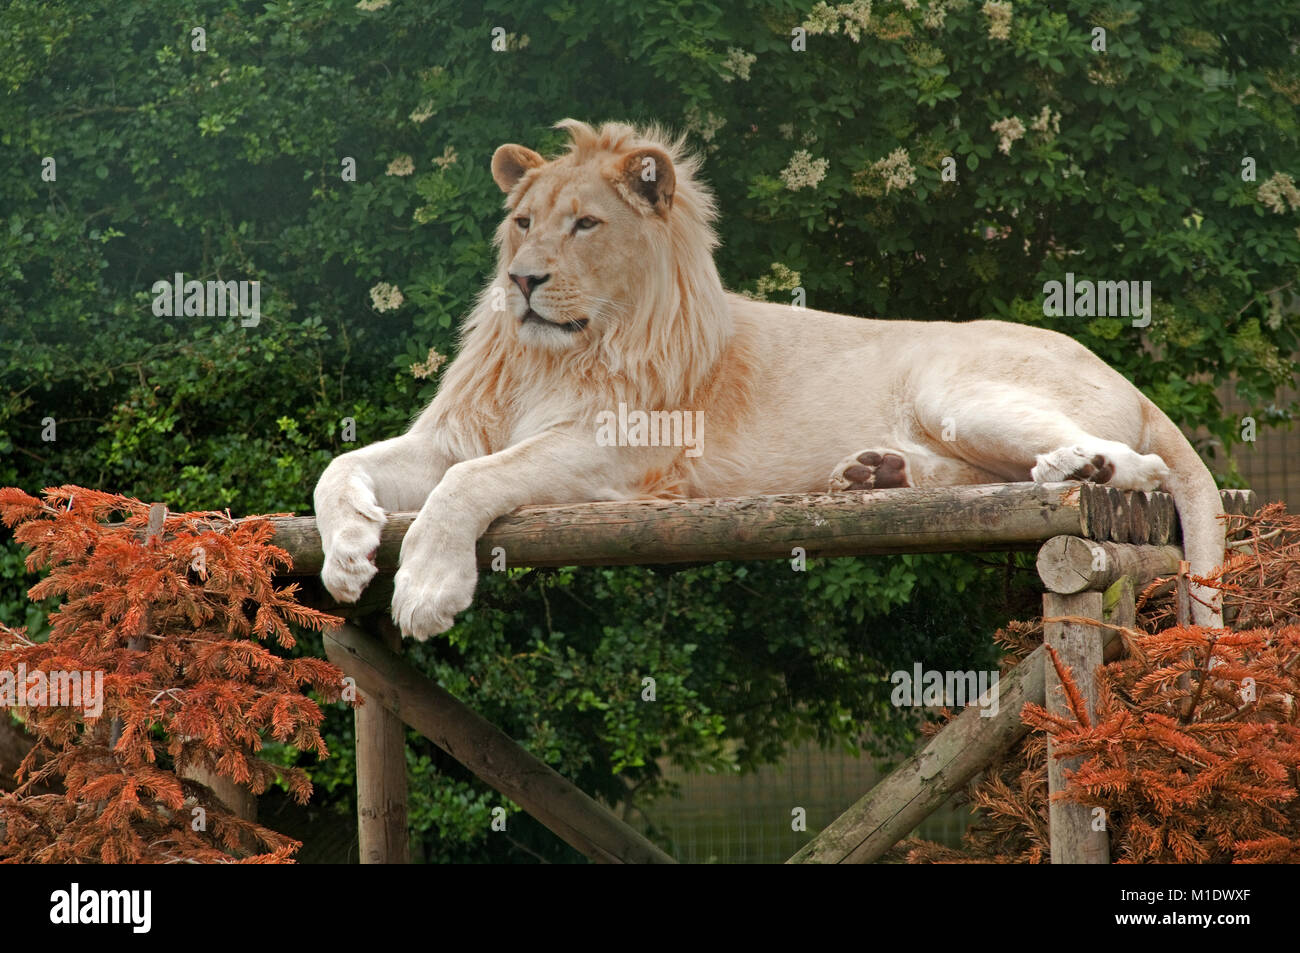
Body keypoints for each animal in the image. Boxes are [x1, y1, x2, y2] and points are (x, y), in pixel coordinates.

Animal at [313, 119, 1225, 639]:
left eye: (585, 225)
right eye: (524, 222)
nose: (523, 280)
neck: (557, 352)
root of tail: (1129, 379)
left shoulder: (625, 453)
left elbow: (470, 482)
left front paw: (426, 588)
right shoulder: (452, 434)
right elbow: (340, 468)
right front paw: (348, 553)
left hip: (956, 387)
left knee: (1136, 464)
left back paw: (1080, 466)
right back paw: (878, 471)